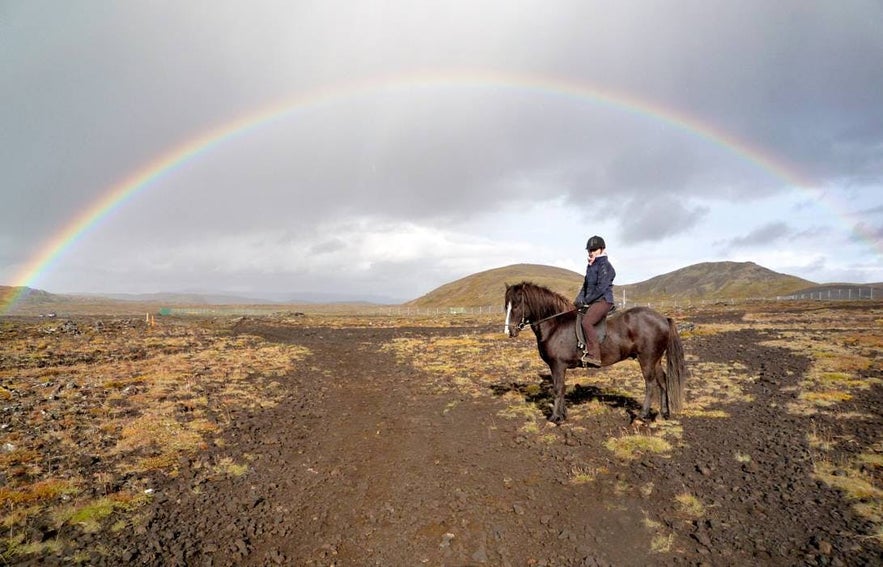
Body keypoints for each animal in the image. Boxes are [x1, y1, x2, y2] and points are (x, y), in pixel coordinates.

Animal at [504, 282, 684, 424]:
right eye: (506, 305)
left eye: (517, 305)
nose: (509, 331)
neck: (555, 325)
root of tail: (663, 318)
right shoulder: (558, 367)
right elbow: (561, 388)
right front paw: (563, 414)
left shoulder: (558, 365)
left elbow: (557, 389)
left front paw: (555, 418)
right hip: (655, 359)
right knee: (662, 382)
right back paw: (663, 414)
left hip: (646, 359)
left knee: (650, 384)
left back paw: (642, 415)